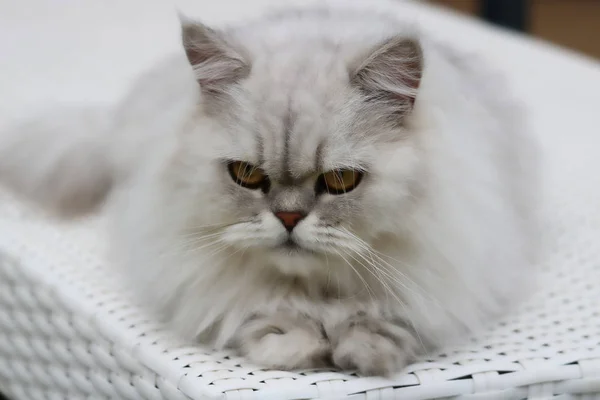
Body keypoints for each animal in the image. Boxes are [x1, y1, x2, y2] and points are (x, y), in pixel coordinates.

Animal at [0, 1, 540, 376]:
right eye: (246, 175)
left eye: (340, 182)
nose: (288, 218)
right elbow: (265, 311)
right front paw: (296, 347)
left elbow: (384, 317)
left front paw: (364, 353)